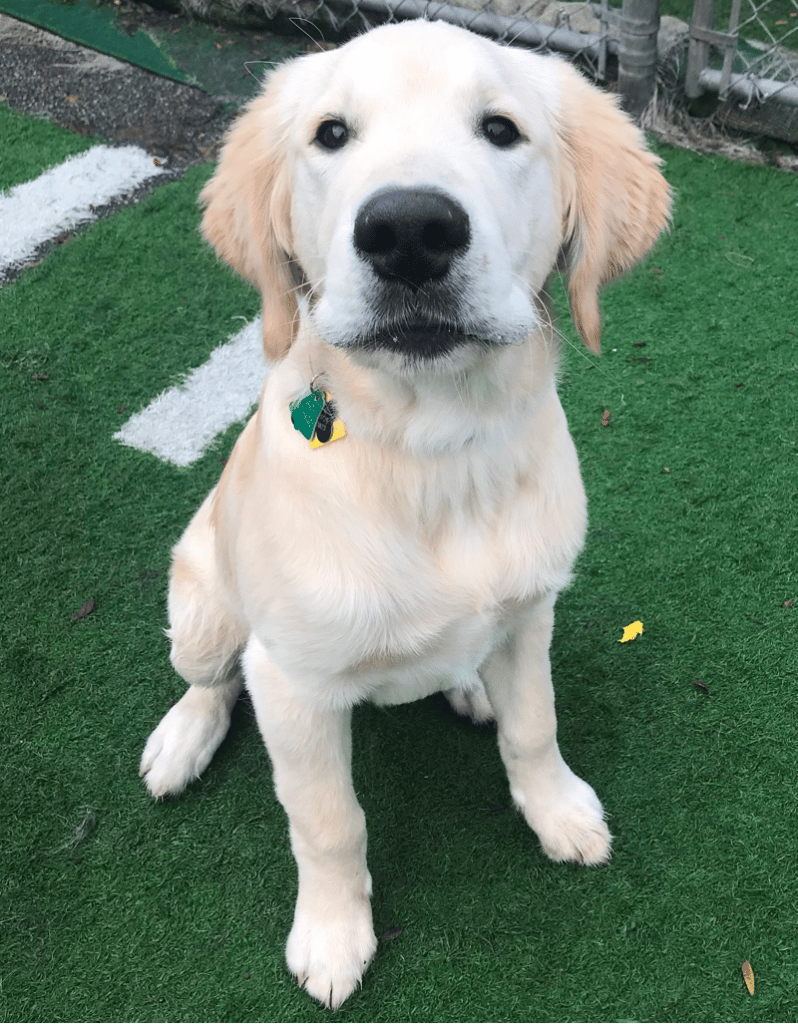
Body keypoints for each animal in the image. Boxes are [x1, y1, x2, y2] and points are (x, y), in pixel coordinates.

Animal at [140, 19, 672, 1011]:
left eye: (500, 130)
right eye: (331, 135)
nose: (410, 231)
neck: (433, 452)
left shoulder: (530, 612)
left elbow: (535, 728)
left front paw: (558, 811)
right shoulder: (294, 684)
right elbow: (328, 821)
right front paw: (333, 934)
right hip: (201, 605)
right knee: (210, 677)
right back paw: (182, 740)